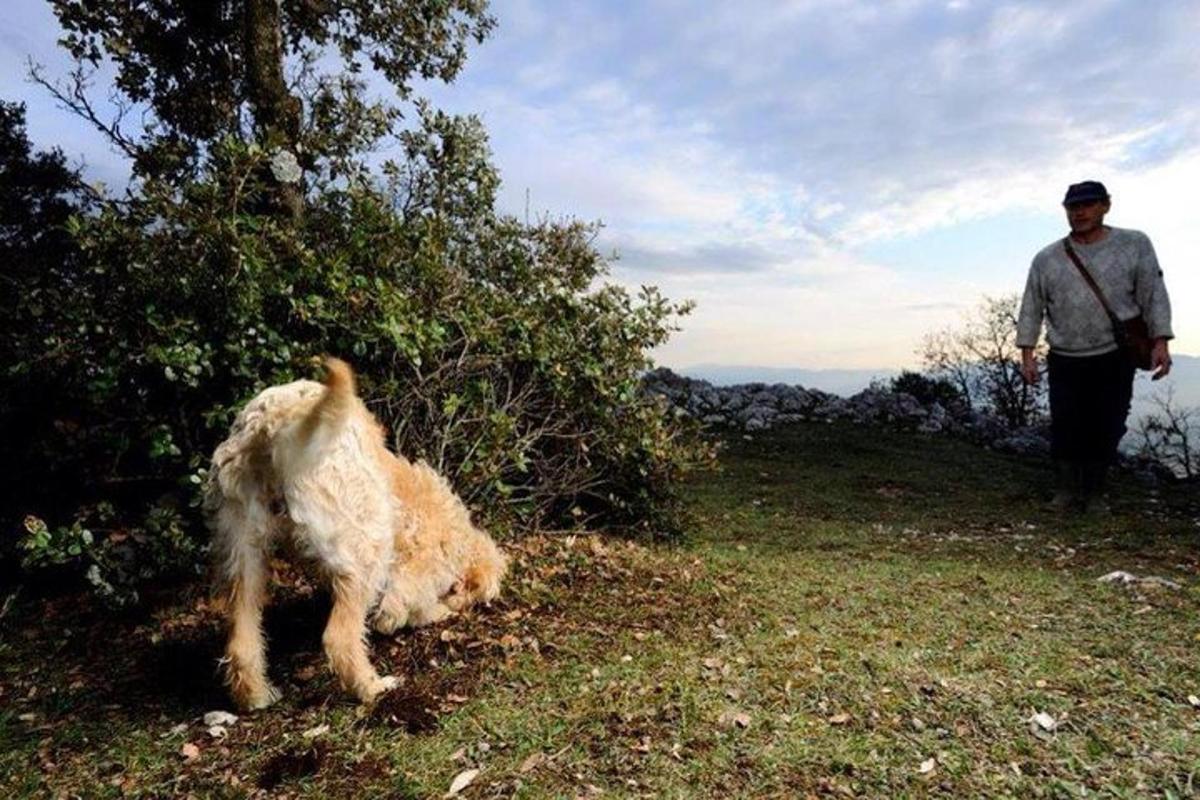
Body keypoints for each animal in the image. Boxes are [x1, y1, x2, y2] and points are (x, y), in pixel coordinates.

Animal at [206, 359, 506, 710]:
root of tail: (274, 424)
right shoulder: (413, 574)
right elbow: (401, 610)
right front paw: (435, 611)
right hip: (367, 547)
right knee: (340, 638)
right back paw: (372, 687)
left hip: (244, 555)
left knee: (241, 642)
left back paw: (255, 696)